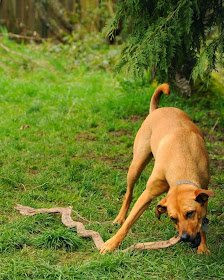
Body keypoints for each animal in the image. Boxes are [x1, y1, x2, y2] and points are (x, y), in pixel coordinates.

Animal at [100, 83, 214, 254]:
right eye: (173, 218)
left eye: (190, 213)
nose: (184, 238)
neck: (183, 162)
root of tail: (156, 110)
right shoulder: (147, 194)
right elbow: (129, 223)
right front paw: (111, 243)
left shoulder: (203, 191)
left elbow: (202, 223)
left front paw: (203, 246)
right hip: (136, 165)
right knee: (128, 194)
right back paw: (120, 218)